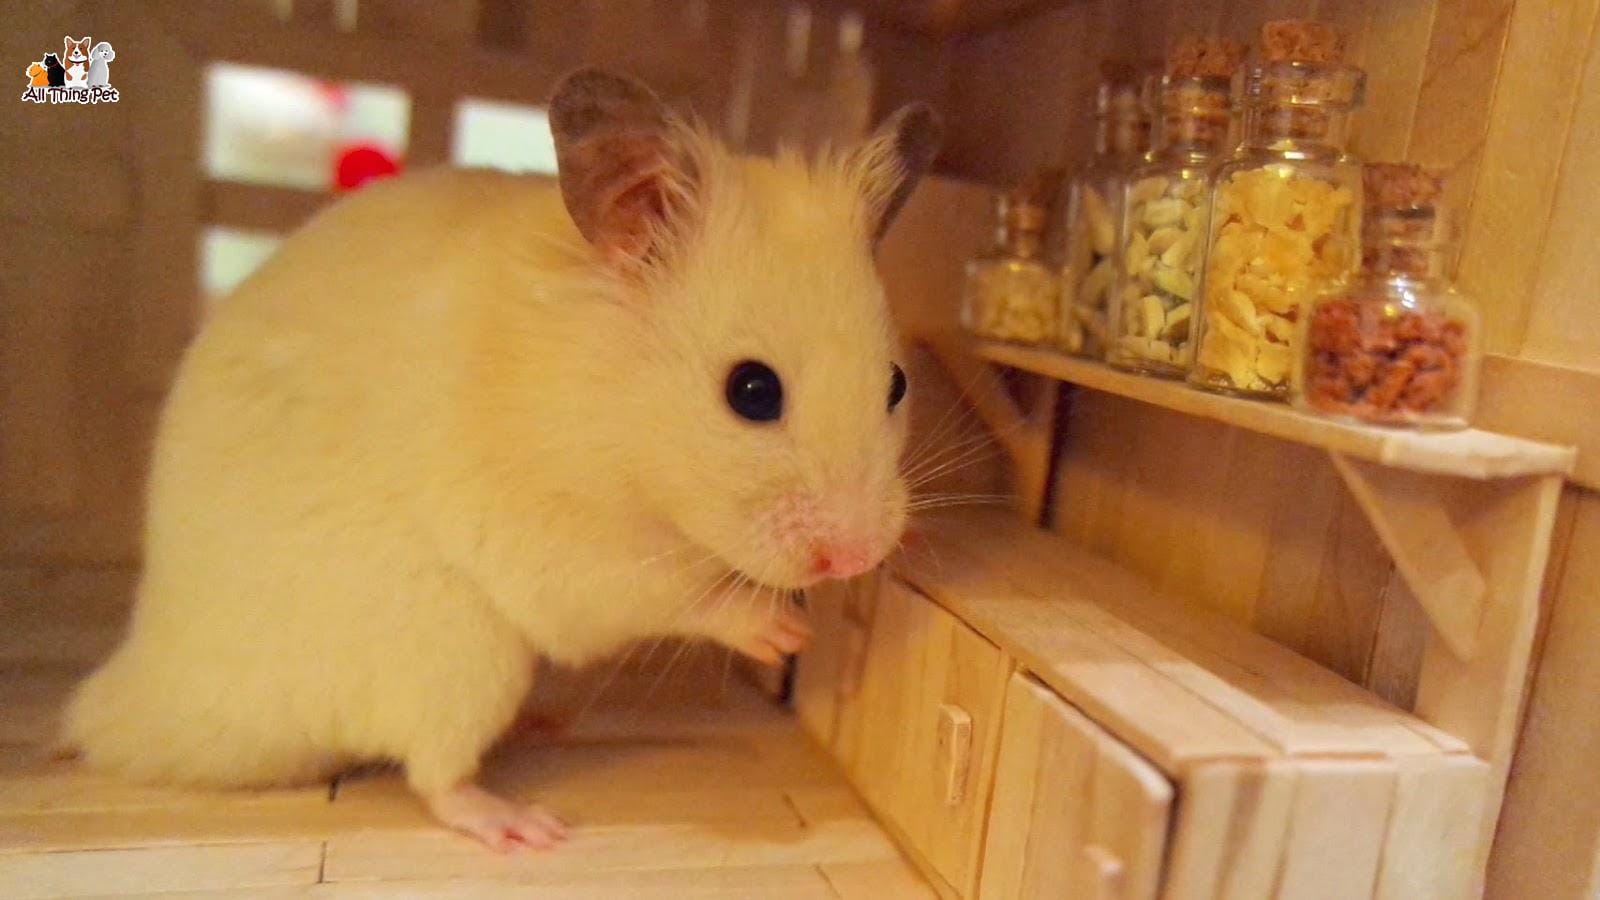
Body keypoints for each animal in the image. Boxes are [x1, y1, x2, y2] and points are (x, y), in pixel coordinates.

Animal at [64, 69, 940, 851]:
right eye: (752, 391)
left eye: (897, 384)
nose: (855, 557)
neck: (616, 425)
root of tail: (139, 699)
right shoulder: (565, 550)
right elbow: (682, 594)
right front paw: (783, 632)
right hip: (454, 652)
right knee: (434, 776)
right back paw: (525, 825)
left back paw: (542, 725)